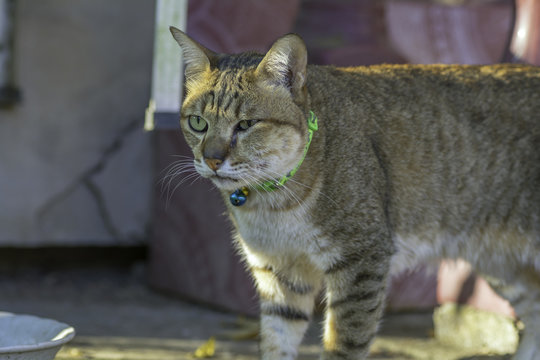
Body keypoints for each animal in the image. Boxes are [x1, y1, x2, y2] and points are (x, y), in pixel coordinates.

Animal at [169, 28, 540, 360]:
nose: (212, 160)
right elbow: (277, 342)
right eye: (198, 123)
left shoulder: (362, 261)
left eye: (246, 125)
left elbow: (344, 345)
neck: (272, 203)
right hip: (500, 263)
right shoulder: (280, 272)